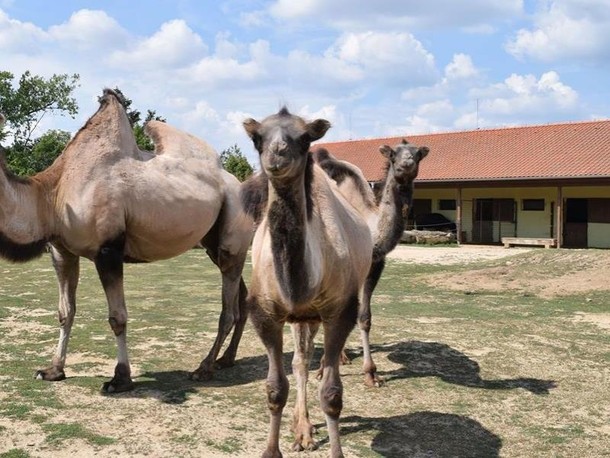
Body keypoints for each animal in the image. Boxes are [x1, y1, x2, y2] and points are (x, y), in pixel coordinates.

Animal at [0, 90, 252, 394]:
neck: (52, 195)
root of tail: (238, 183)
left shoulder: (108, 249)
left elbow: (117, 317)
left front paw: (120, 379)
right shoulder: (62, 251)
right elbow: (65, 312)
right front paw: (52, 370)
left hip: (233, 230)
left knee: (228, 308)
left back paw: (204, 368)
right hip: (214, 245)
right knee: (241, 295)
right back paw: (226, 359)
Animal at [241, 108, 372, 458]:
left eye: (304, 138)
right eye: (257, 138)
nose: (277, 154)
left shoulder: (339, 311)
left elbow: (332, 394)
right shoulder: (265, 314)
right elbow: (275, 389)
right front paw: (272, 450)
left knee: (313, 359)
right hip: (300, 318)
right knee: (301, 361)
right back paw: (302, 429)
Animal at [314, 140, 428, 386]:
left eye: (418, 154)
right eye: (393, 155)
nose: (407, 164)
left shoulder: (375, 265)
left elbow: (364, 317)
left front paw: (371, 373)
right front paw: (321, 368)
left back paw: (343, 356)